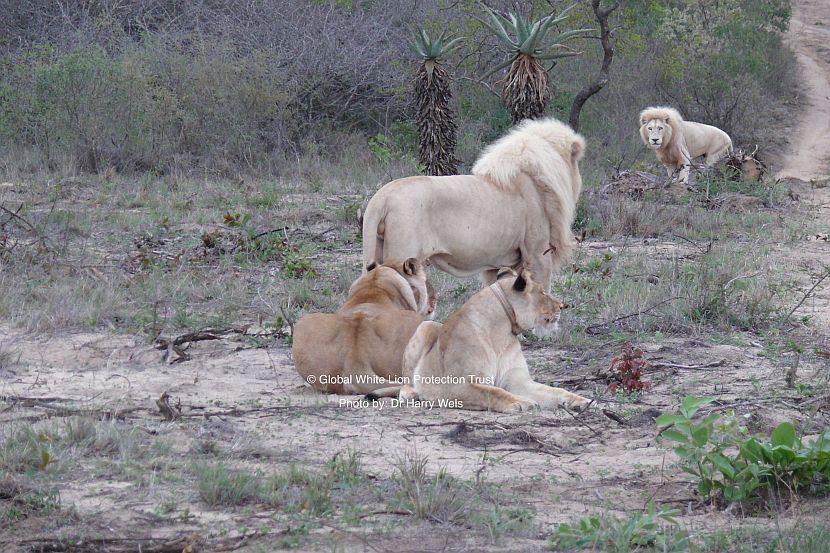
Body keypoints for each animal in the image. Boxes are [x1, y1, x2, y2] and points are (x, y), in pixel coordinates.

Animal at [292, 260, 436, 396]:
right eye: (427, 281)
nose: (435, 297)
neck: (375, 282)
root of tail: (355, 358)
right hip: (423, 325)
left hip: (304, 321)